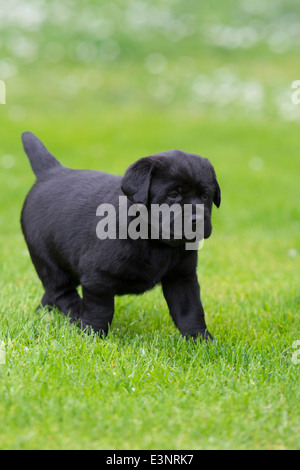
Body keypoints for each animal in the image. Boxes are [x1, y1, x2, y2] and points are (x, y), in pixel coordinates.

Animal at [20, 132, 220, 342]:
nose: (197, 218)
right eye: (173, 195)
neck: (153, 240)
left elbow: (190, 311)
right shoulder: (97, 279)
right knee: (62, 292)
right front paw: (92, 336)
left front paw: (200, 340)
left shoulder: (182, 277)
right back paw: (74, 316)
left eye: (205, 196)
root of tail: (50, 172)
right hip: (48, 262)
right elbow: (99, 312)